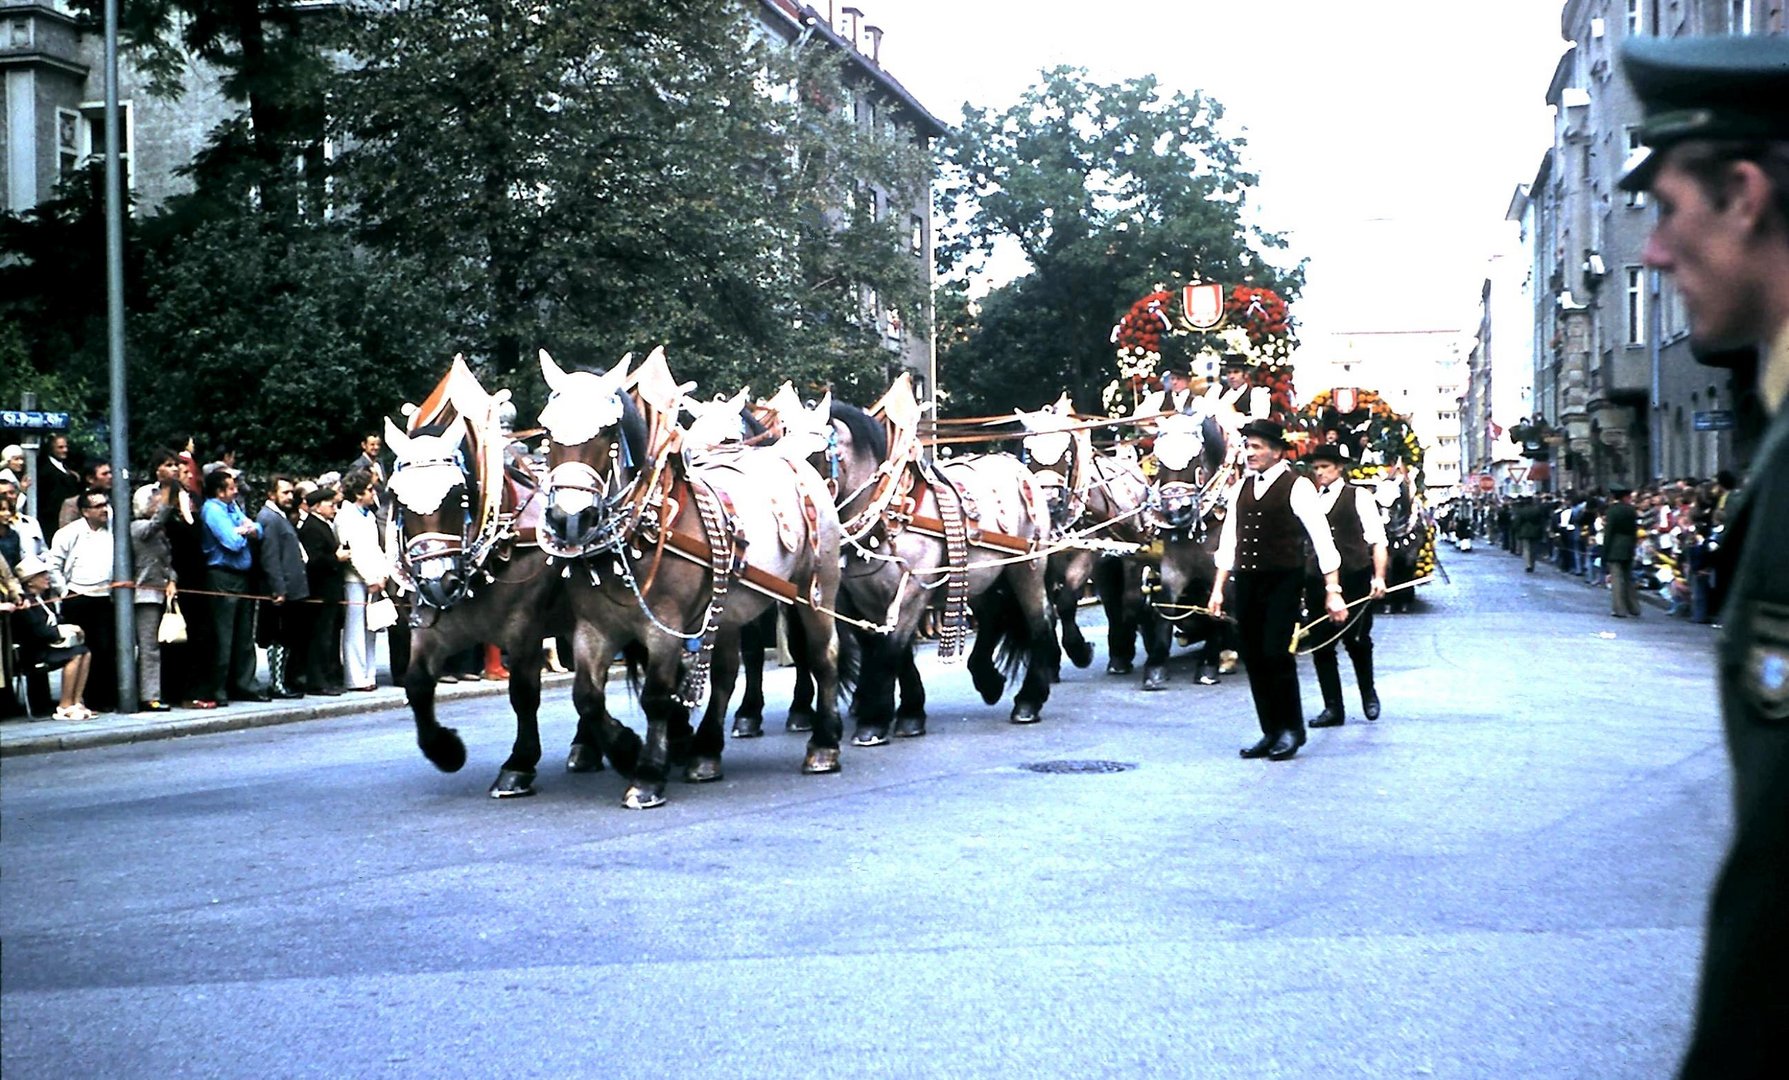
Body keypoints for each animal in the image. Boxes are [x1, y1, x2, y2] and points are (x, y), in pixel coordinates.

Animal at [381, 366, 590, 797]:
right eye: (396, 498)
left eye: (459, 493)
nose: (437, 582)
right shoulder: (429, 629)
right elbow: (416, 684)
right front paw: (446, 750)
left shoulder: (524, 628)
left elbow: (523, 693)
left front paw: (518, 765)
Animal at [529, 350, 844, 804]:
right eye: (548, 429)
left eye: (606, 433)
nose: (569, 518)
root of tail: (792, 462)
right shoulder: (593, 627)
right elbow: (586, 695)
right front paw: (625, 748)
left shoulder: (665, 626)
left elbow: (657, 695)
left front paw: (646, 775)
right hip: (728, 608)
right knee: (727, 674)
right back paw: (706, 753)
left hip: (816, 593)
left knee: (823, 657)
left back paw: (823, 746)